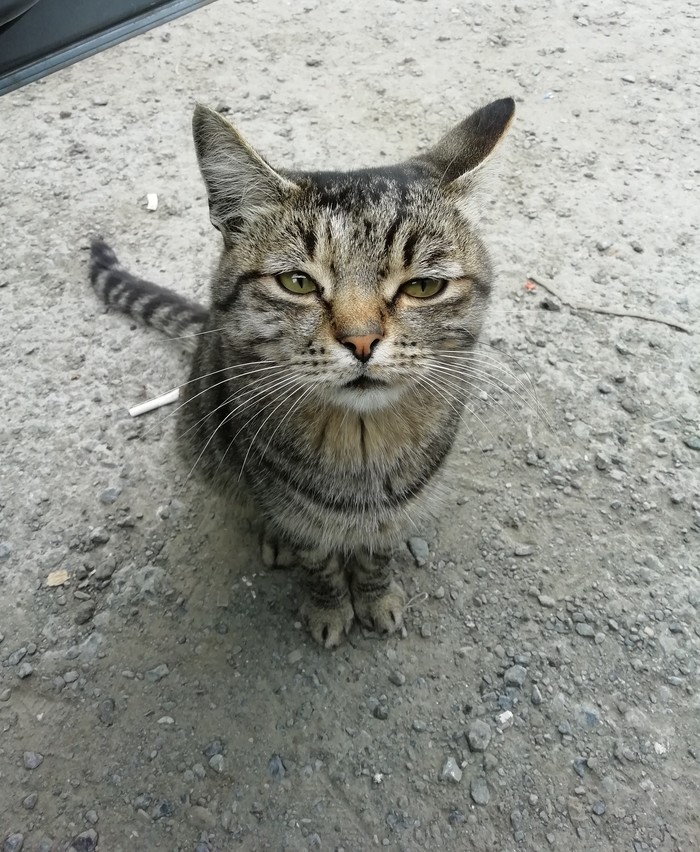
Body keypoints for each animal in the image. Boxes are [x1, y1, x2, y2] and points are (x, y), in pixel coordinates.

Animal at [89, 98, 516, 644]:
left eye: (422, 286)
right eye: (297, 282)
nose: (361, 340)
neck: (362, 442)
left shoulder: (393, 510)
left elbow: (377, 554)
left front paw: (375, 596)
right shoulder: (292, 504)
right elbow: (318, 561)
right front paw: (329, 608)